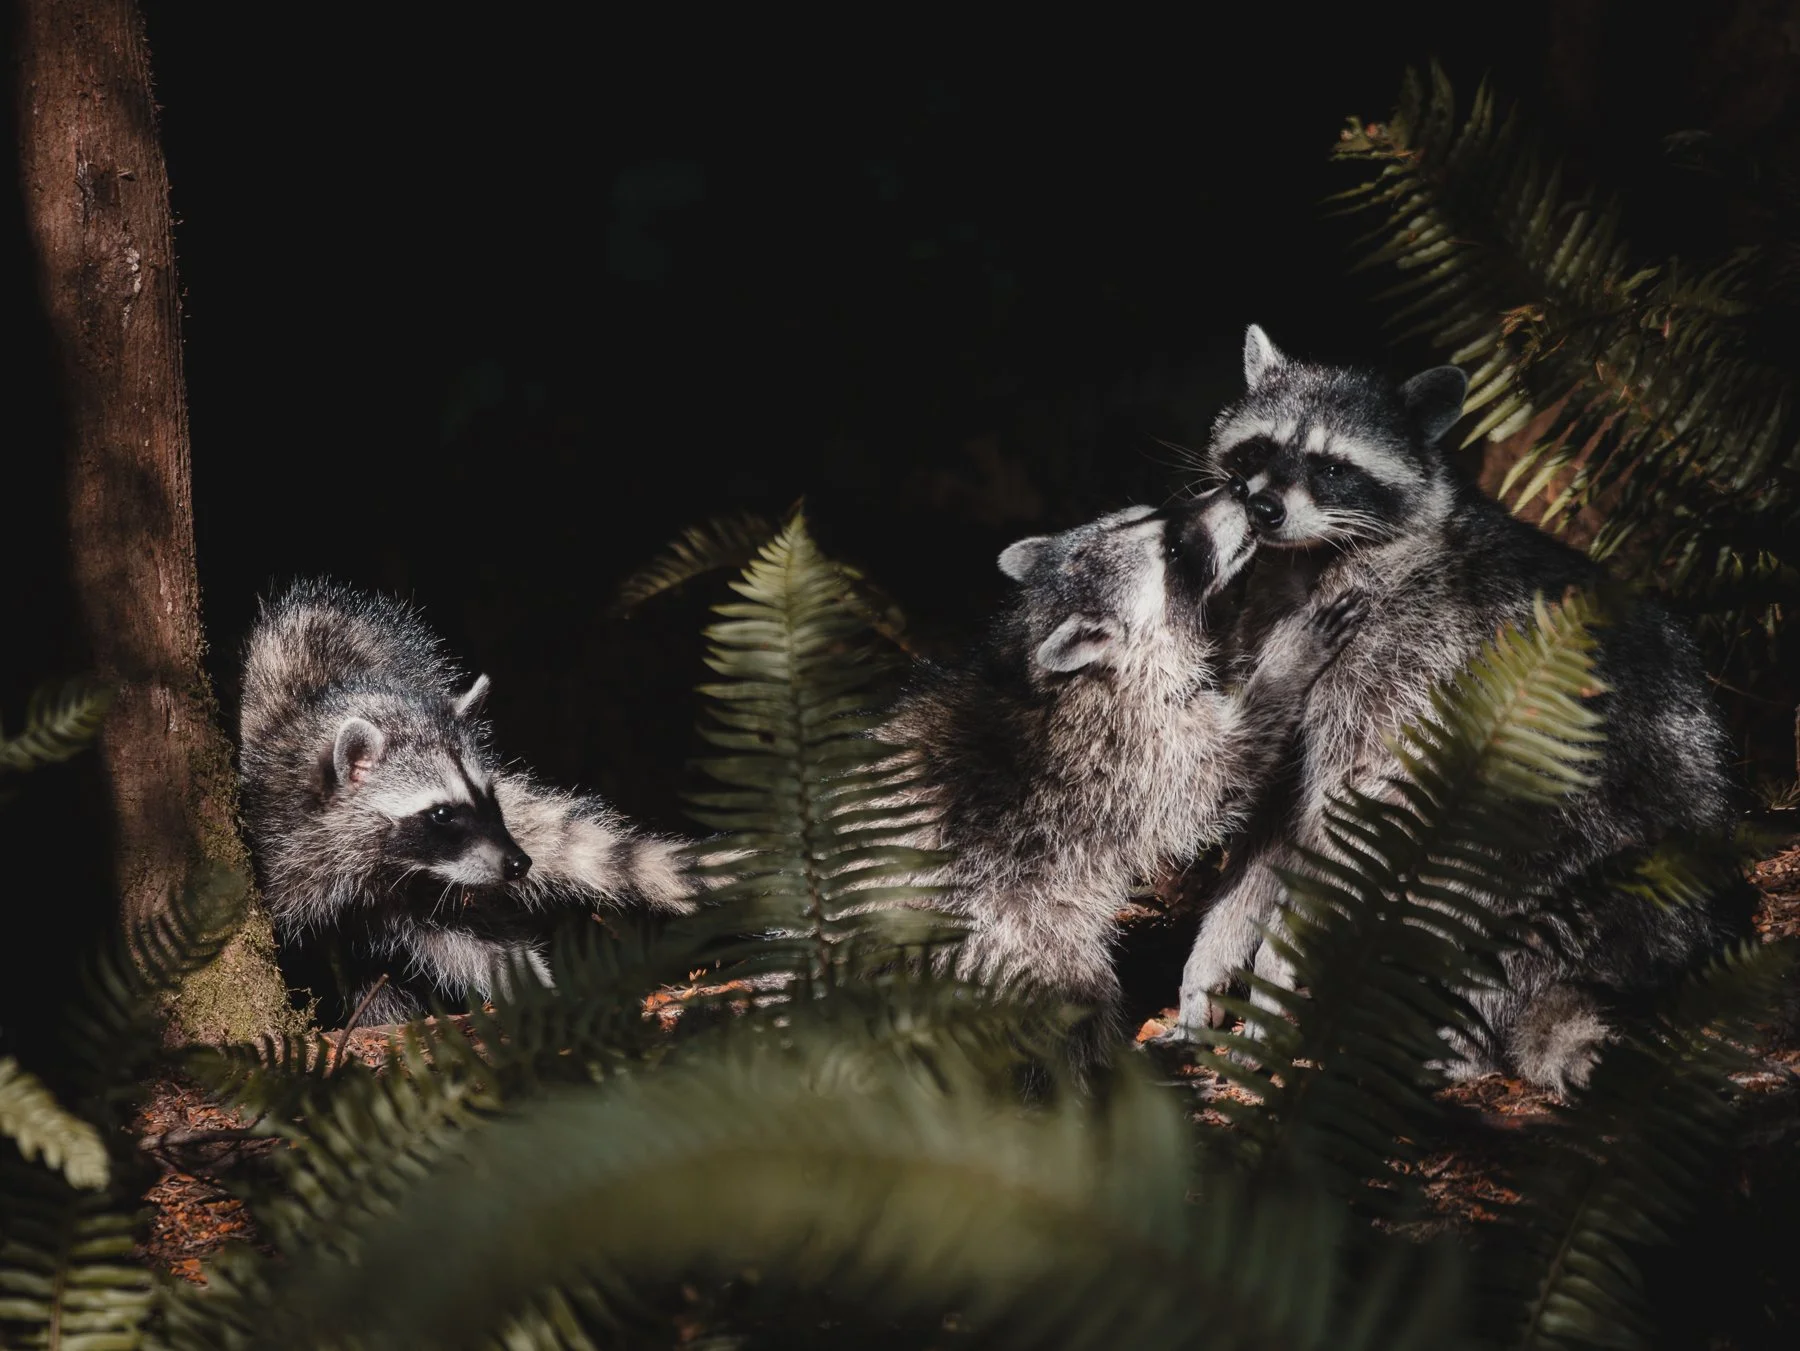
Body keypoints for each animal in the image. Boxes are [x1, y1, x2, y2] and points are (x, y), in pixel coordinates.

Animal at [239, 579, 702, 1024]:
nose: (519, 862)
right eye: (443, 814)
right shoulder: (283, 844)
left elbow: (478, 944)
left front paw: (534, 989)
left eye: (490, 799)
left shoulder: (424, 886)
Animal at [880, 495, 1365, 1057]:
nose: (1241, 491)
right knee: (1070, 994)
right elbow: (1221, 776)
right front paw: (1288, 660)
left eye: (1157, 511)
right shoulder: (1129, 750)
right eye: (1174, 550)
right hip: (999, 926)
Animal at [1172, 326, 1738, 1091]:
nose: (1262, 509)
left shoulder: (1414, 666)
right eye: (1258, 451)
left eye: (1332, 468)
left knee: (1473, 876)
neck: (1313, 561)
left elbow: (1351, 828)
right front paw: (1214, 958)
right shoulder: (1278, 658)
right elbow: (1270, 828)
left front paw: (1276, 979)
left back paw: (1459, 1045)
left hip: (1584, 850)